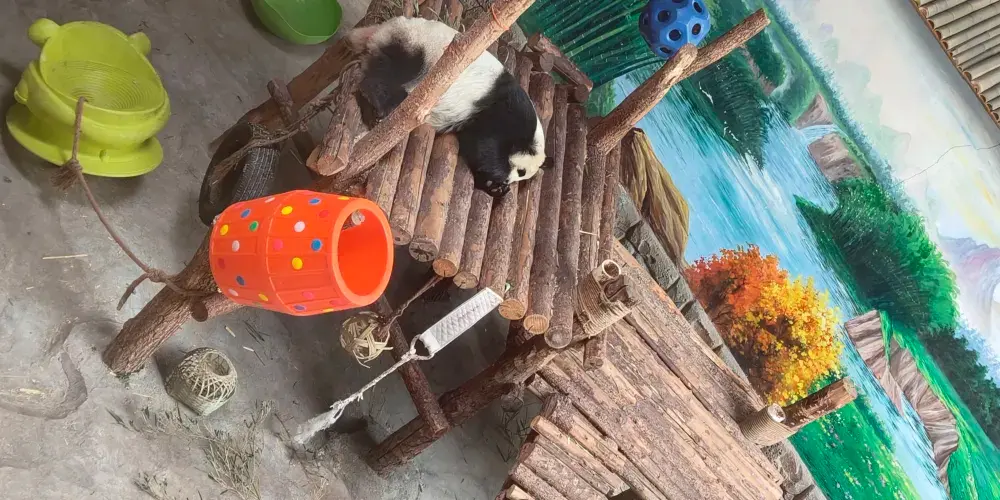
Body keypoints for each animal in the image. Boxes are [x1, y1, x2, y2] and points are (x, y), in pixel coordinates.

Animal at [347, 16, 546, 198]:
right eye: (521, 171)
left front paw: (493, 186)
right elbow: (487, 146)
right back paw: (383, 107)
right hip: (419, 46)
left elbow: (473, 147)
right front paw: (495, 176)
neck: (529, 133)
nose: (507, 181)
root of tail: (382, 28)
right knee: (395, 72)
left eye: (522, 177)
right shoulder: (504, 111)